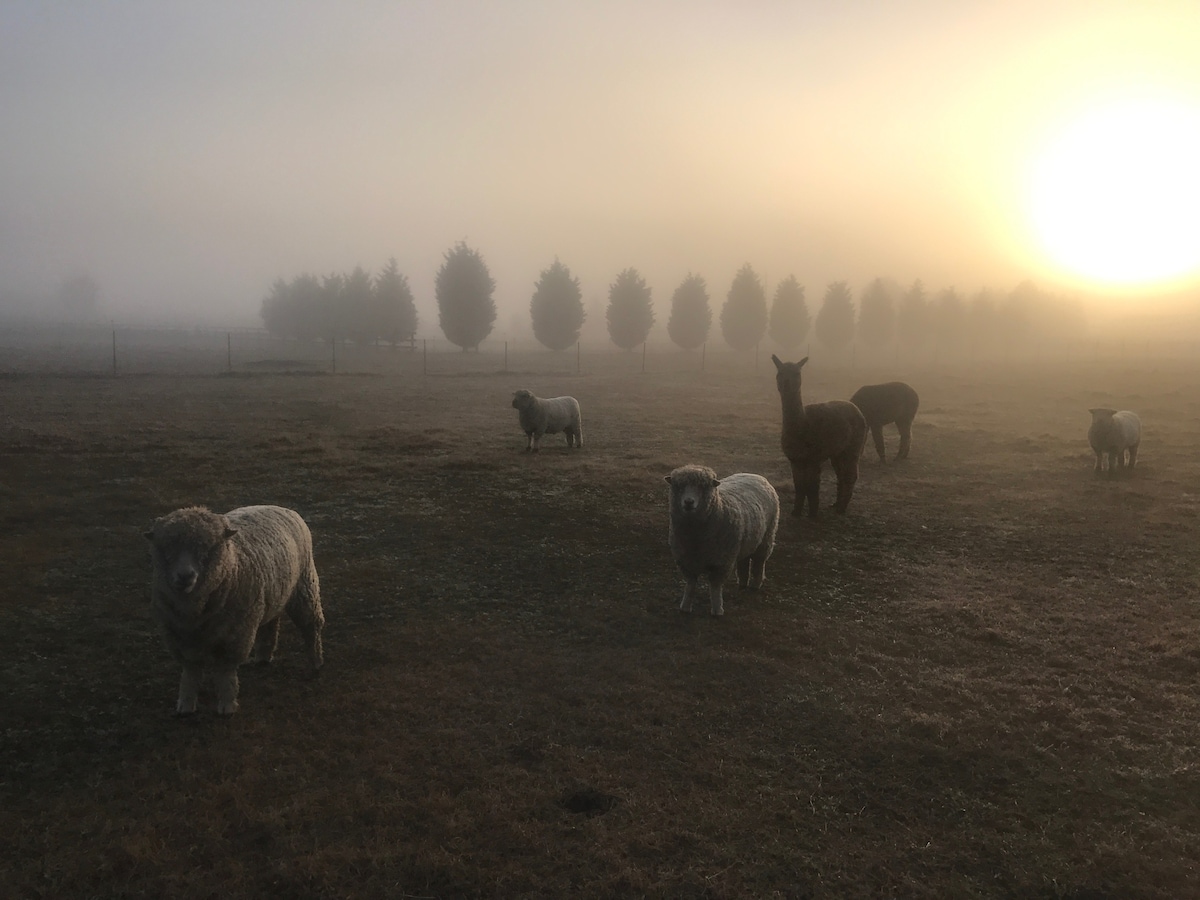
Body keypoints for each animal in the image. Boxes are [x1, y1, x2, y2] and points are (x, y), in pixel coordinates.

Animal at [143, 504, 324, 715]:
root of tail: (280, 507)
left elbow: (225, 672)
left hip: (305, 585)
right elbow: (191, 671)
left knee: (311, 626)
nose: (185, 576)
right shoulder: (179, 638)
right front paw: (186, 704)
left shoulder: (236, 635)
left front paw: (227, 705)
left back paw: (316, 662)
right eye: (166, 547)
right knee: (270, 625)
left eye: (208, 548)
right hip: (272, 596)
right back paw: (263, 657)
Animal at [662, 465, 782, 619]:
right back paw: (742, 583)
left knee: (759, 562)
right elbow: (690, 584)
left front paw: (717, 609)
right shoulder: (685, 561)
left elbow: (715, 586)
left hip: (766, 537)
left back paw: (755, 584)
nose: (688, 502)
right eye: (678, 486)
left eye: (704, 487)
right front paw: (685, 607)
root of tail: (754, 474)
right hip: (744, 541)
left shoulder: (721, 562)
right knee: (743, 561)